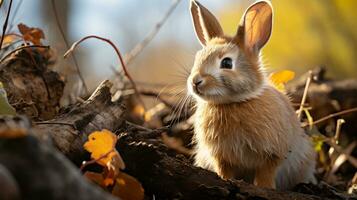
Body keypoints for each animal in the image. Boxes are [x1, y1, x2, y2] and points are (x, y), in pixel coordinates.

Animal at [186, 0, 314, 191]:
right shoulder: (221, 156)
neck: (234, 103)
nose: (195, 81)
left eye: (226, 63)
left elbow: (266, 173)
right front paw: (225, 180)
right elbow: (224, 170)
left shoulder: (273, 154)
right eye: (197, 58)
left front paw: (266, 188)